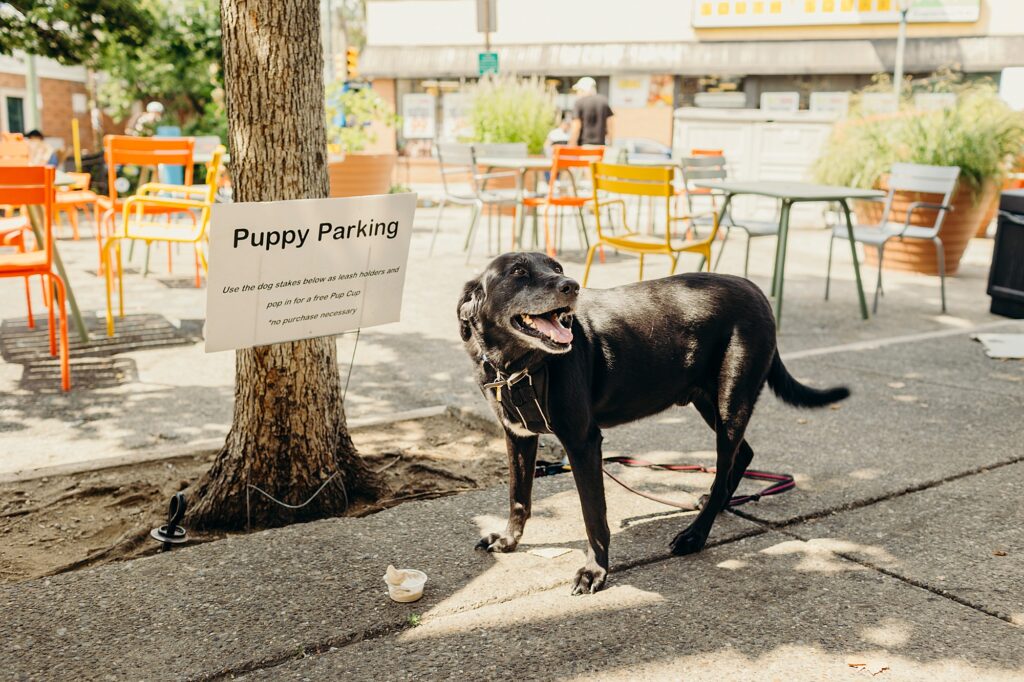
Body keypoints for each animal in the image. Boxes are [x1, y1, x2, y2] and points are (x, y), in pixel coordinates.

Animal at [458, 251, 847, 593]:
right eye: (519, 272)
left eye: (557, 267)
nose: (571, 285)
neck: (518, 366)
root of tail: (757, 291)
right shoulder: (517, 436)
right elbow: (518, 497)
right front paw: (508, 540)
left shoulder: (583, 443)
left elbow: (593, 516)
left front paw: (594, 571)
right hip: (707, 402)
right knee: (743, 456)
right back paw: (714, 503)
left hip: (730, 405)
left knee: (727, 464)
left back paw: (695, 534)